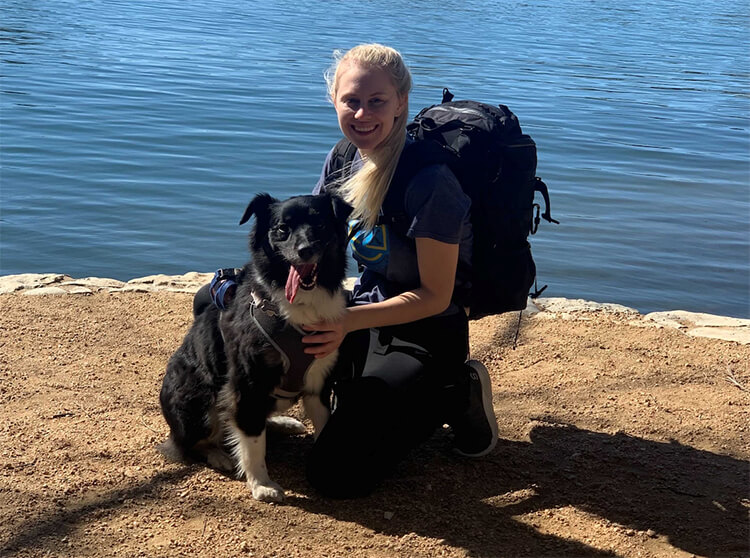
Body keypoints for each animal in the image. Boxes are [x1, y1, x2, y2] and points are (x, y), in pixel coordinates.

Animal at [159, 192, 352, 504]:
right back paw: (219, 454)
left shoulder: (319, 380)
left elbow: (323, 426)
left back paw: (283, 423)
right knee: (193, 442)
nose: (305, 250)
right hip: (199, 397)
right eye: (282, 229)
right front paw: (261, 483)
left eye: (320, 225)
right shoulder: (247, 382)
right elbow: (252, 440)